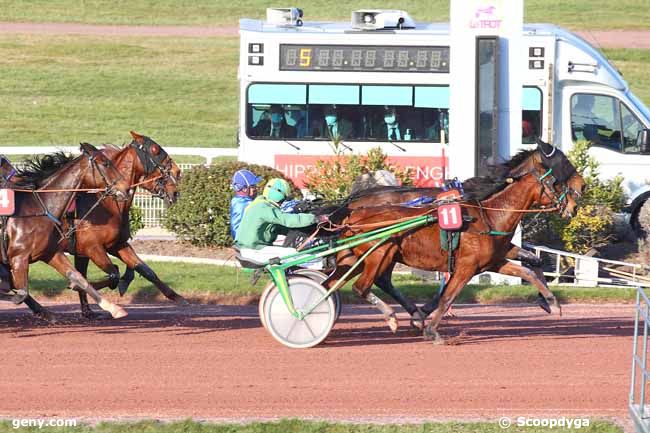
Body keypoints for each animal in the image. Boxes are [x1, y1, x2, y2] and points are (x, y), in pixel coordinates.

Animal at [0, 144, 132, 318]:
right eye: (105, 163)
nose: (126, 188)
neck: (39, 210)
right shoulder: (18, 258)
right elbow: (21, 293)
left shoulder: (51, 254)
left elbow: (79, 277)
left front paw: (113, 308)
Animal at [60, 132, 184, 318]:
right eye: (156, 149)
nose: (177, 172)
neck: (107, 204)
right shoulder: (91, 248)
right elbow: (112, 274)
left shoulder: (116, 245)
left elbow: (145, 270)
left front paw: (175, 296)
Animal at [322, 140, 584, 340]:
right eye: (561, 167)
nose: (577, 197)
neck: (490, 213)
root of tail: (352, 209)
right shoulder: (468, 266)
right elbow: (447, 295)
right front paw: (429, 327)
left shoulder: (493, 260)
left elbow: (530, 268)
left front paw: (550, 301)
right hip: (379, 254)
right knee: (367, 284)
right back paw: (395, 316)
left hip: (361, 257)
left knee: (338, 283)